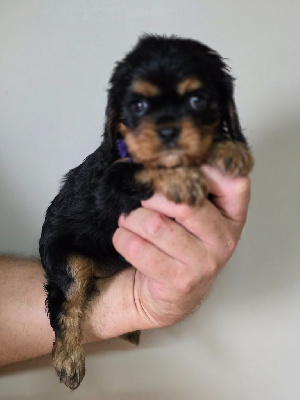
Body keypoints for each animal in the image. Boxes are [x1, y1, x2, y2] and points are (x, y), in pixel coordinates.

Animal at [39, 35, 253, 390]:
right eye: (138, 106)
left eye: (197, 100)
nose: (167, 132)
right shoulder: (111, 183)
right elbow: (141, 168)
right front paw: (180, 176)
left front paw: (229, 148)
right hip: (64, 258)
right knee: (67, 302)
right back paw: (68, 359)